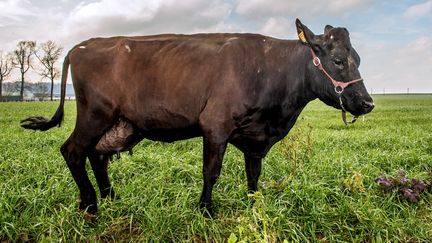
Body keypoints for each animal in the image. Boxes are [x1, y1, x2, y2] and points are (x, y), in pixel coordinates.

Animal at [20, 19, 372, 216]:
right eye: (338, 60)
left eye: (357, 58)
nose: (367, 102)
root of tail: (83, 45)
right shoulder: (215, 126)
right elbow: (211, 172)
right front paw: (205, 210)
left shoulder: (256, 138)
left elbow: (254, 175)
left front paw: (254, 205)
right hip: (95, 114)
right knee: (73, 151)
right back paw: (90, 204)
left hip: (120, 123)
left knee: (97, 154)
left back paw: (110, 196)